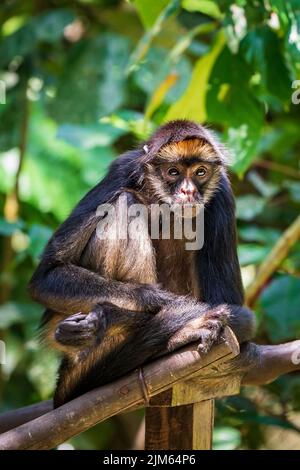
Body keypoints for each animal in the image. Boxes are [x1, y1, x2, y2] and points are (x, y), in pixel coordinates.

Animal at [28, 119, 255, 406]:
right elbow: (47, 275)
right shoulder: (122, 170)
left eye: (200, 172)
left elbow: (233, 307)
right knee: (127, 201)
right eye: (173, 172)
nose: (188, 191)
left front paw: (110, 317)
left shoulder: (222, 192)